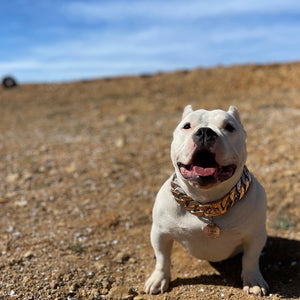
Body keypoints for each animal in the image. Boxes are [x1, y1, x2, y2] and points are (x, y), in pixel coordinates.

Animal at [144, 105, 268, 296]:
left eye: (229, 127)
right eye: (187, 126)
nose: (205, 132)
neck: (206, 203)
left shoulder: (256, 235)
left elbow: (250, 259)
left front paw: (253, 280)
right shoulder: (160, 232)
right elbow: (162, 258)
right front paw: (159, 279)